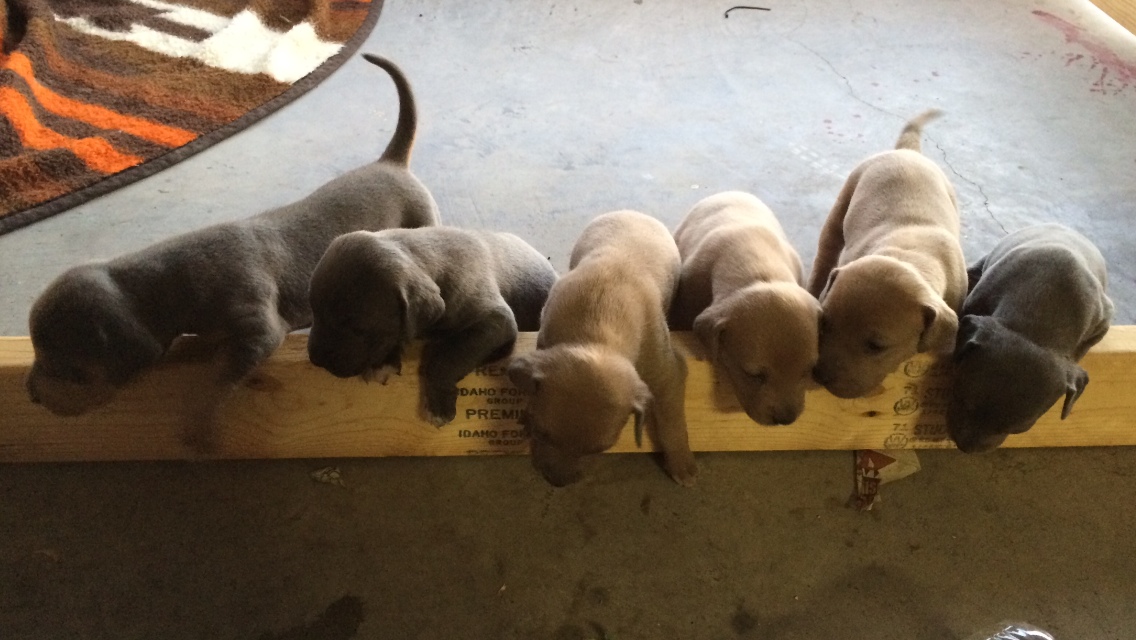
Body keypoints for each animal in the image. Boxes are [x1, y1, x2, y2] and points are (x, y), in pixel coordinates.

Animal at [308, 227, 556, 427]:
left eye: (357, 328)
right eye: (314, 312)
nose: (315, 359)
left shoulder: (496, 321)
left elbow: (447, 357)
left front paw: (438, 406)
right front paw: (386, 360)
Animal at [808, 111, 967, 397]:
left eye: (876, 346)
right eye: (825, 323)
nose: (820, 376)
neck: (908, 256)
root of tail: (907, 152)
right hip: (846, 196)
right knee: (826, 252)